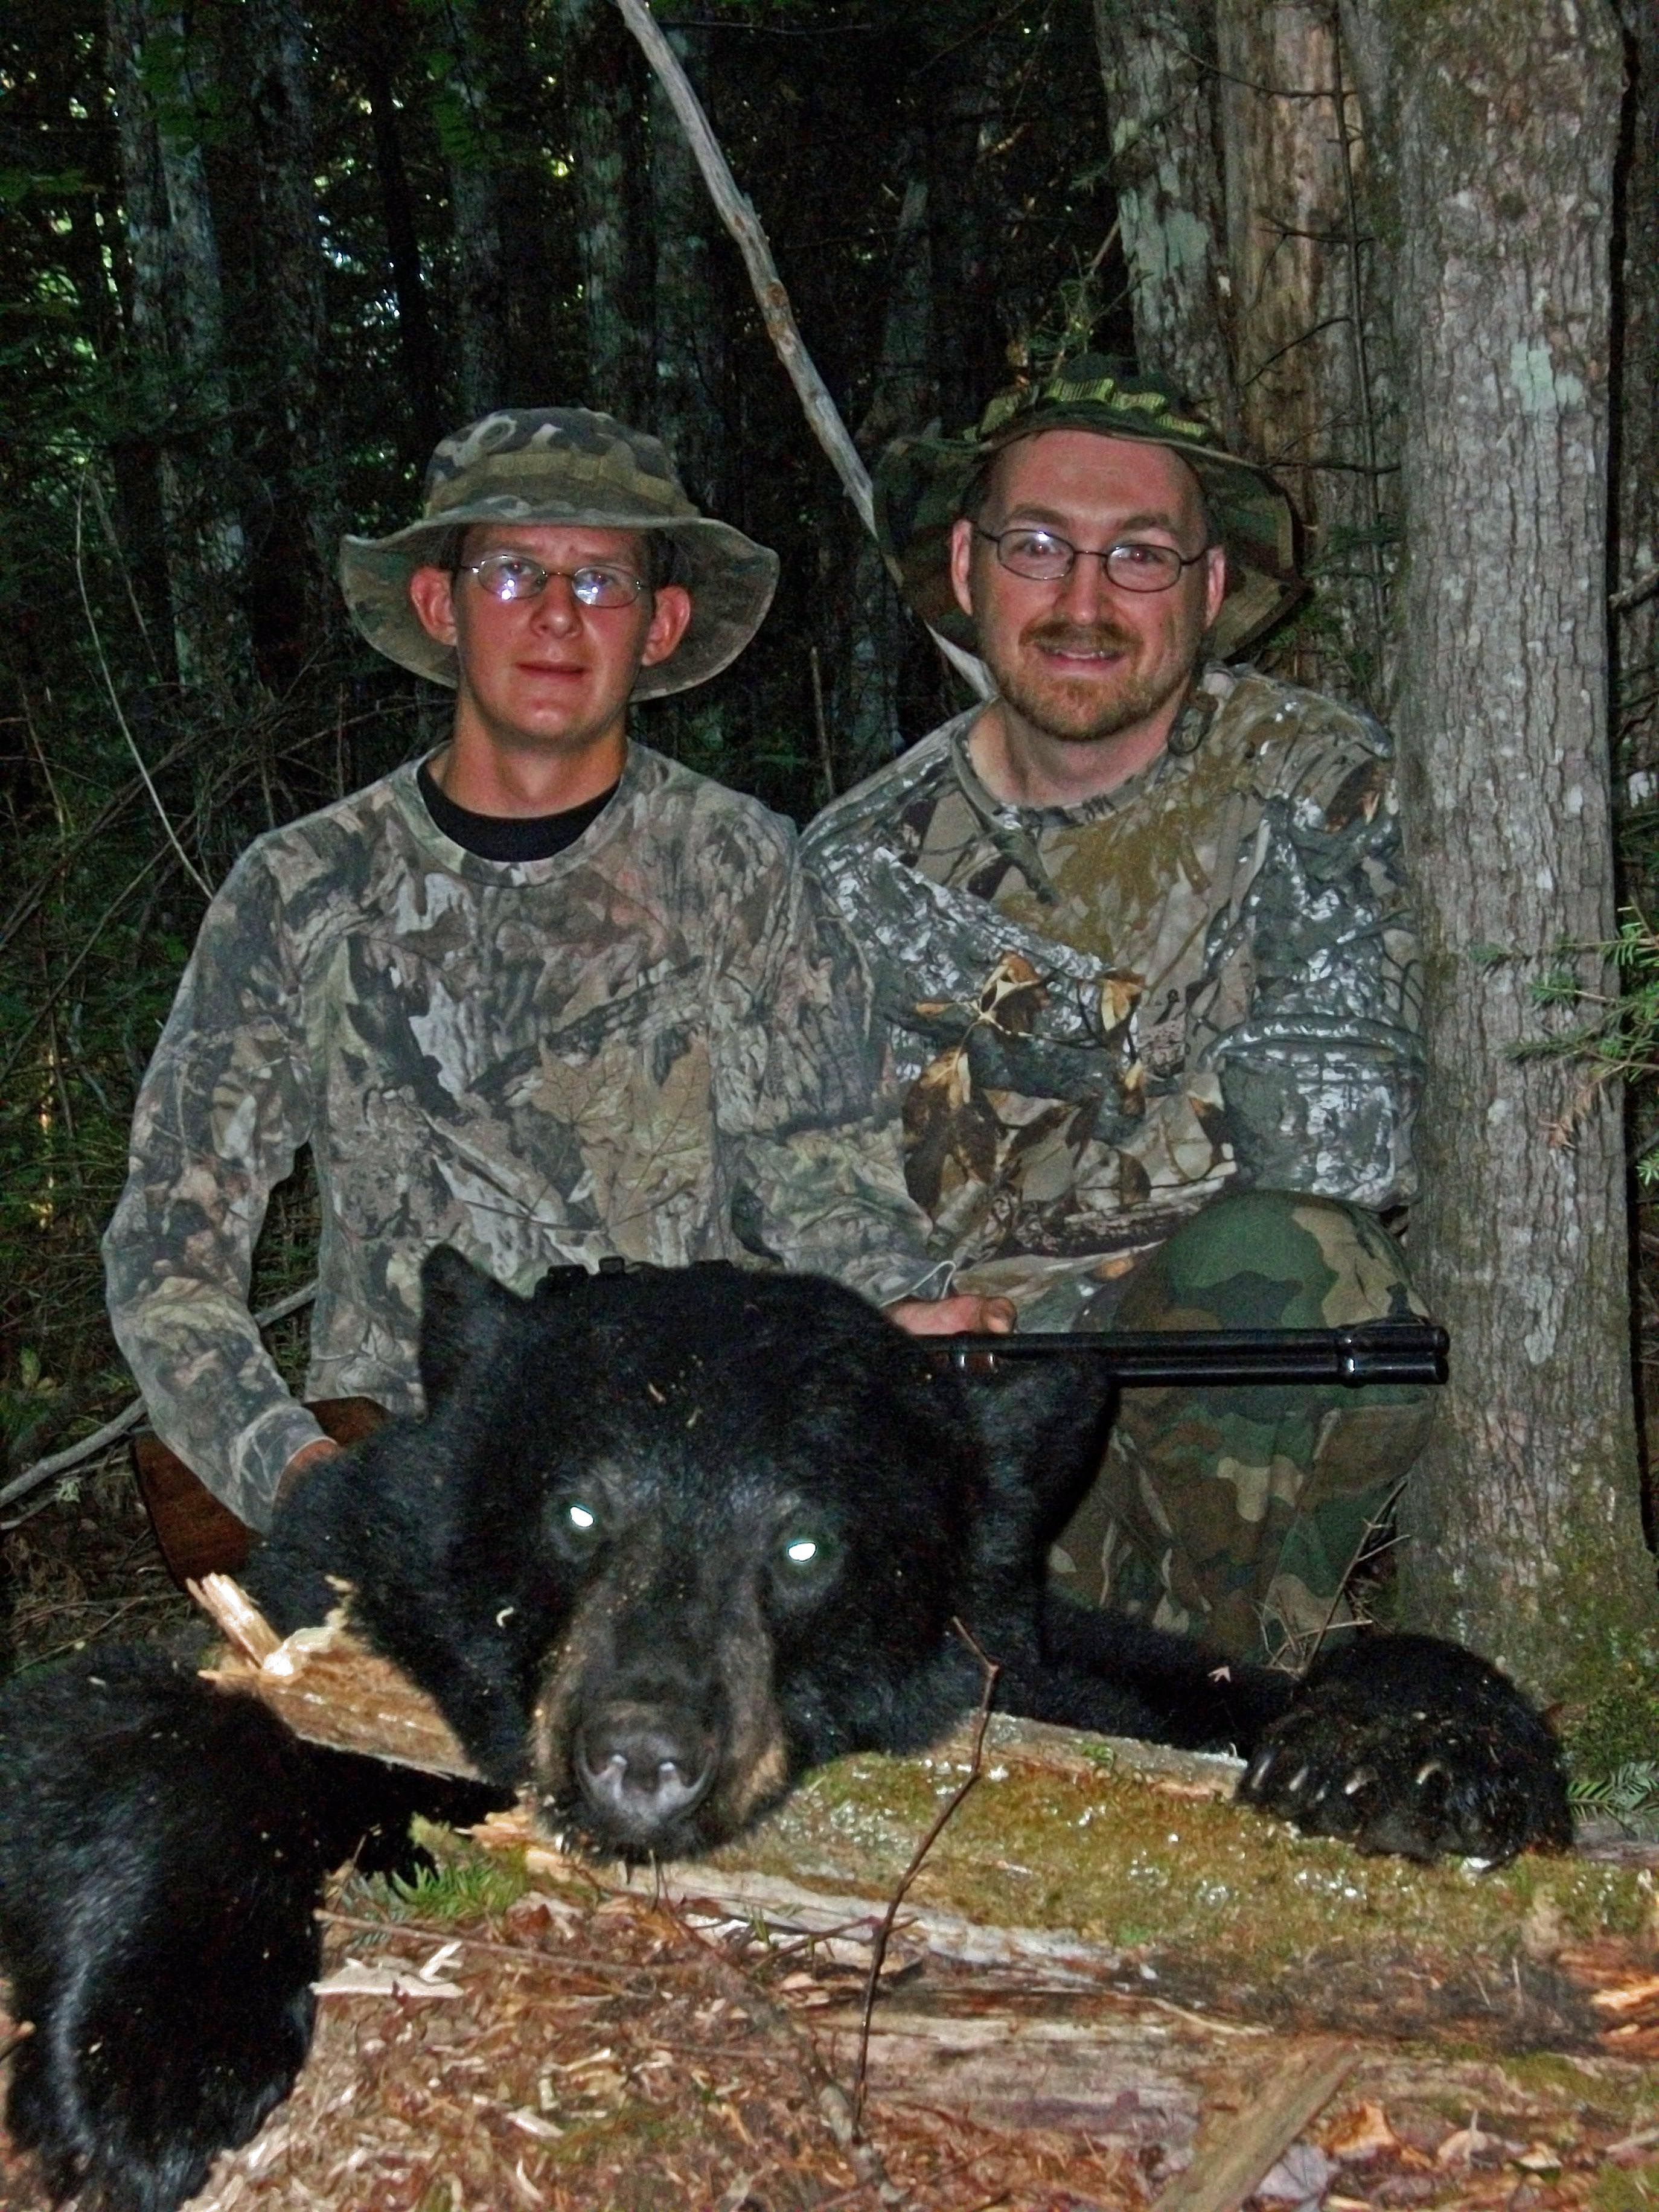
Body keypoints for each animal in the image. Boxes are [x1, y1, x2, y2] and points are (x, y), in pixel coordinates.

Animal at [0, 1248, 1571, 2212]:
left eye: (809, 1545)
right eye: (580, 1507)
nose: (639, 1756)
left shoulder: (1030, 1663)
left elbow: (1191, 1683)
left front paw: (1412, 1750)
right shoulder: (328, 1586)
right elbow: (136, 1719)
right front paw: (150, 2057)